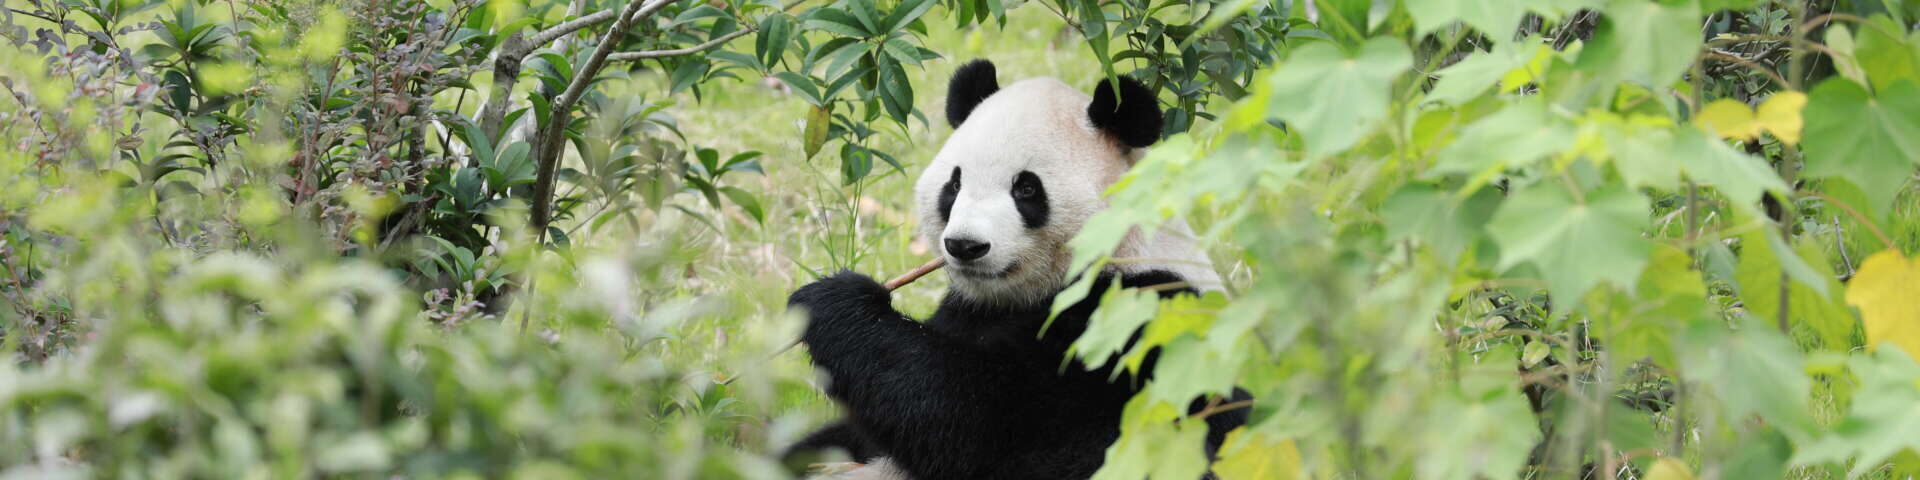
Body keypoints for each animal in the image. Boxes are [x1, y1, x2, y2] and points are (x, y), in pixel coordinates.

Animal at [783, 59, 1248, 480]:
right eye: (954, 184)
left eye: (1026, 188)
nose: (965, 246)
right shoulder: (966, 311)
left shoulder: (1132, 324)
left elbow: (974, 422)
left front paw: (835, 301)